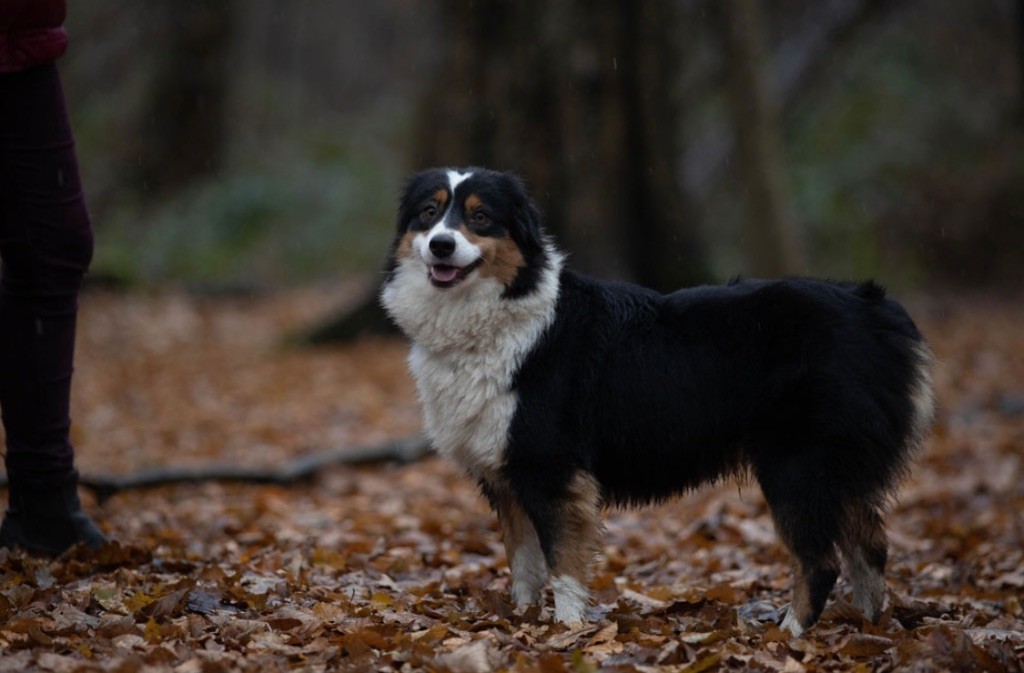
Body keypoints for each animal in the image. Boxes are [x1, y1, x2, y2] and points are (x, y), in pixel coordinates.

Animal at [378, 164, 937, 631]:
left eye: (481, 217)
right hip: (839, 470)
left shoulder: (550, 470)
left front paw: (565, 631)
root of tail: (874, 307)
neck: (498, 313)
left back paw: (791, 636)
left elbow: (562, 564)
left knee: (820, 562)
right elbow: (523, 564)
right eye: (428, 213)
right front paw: (522, 621)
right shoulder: (507, 477)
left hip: (797, 465)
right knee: (870, 548)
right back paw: (869, 628)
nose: (441, 245)